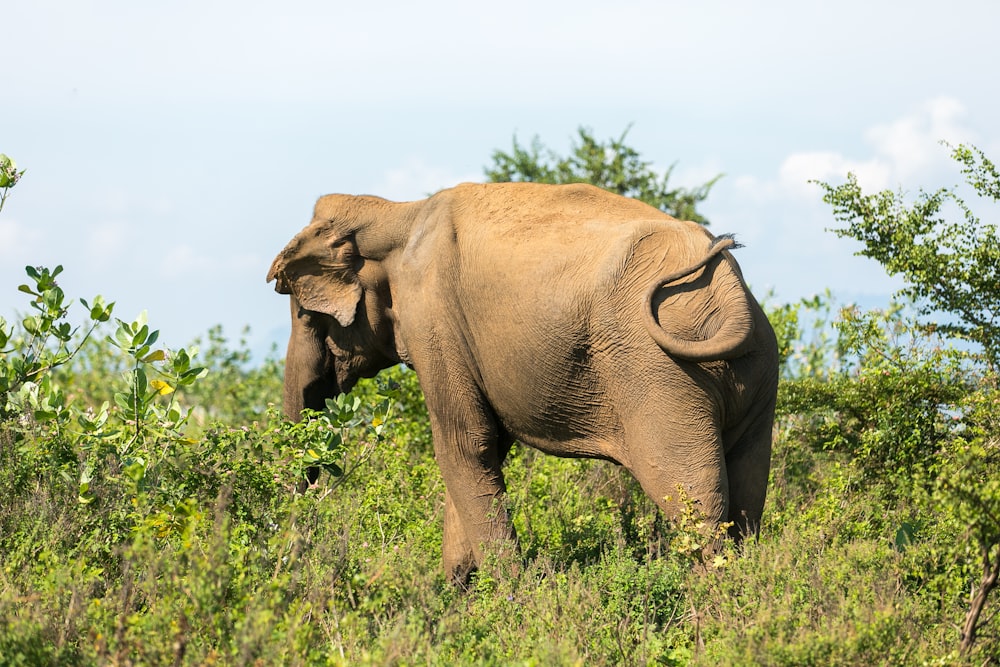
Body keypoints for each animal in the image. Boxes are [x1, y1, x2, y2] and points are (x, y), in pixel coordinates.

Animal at [272, 181, 780, 584]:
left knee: (692, 496)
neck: (397, 211)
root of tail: (730, 291)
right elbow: (485, 448)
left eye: (301, 312)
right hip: (755, 367)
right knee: (747, 492)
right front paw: (459, 594)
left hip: (658, 371)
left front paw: (508, 597)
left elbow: (463, 443)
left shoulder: (433, 317)